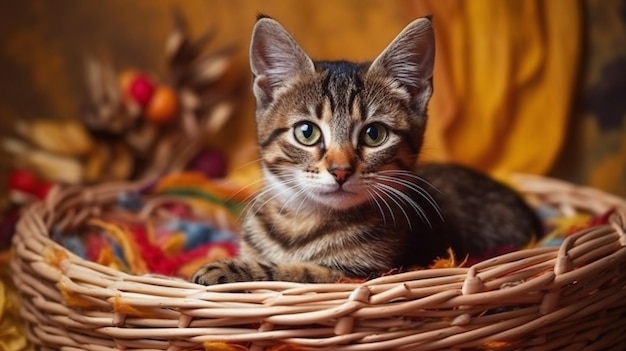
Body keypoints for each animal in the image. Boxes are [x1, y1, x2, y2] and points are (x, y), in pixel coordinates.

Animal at [191, 15, 540, 286]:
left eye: (374, 135)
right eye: (307, 132)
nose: (340, 170)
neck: (304, 219)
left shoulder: (365, 272)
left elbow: (299, 273)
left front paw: (227, 268)